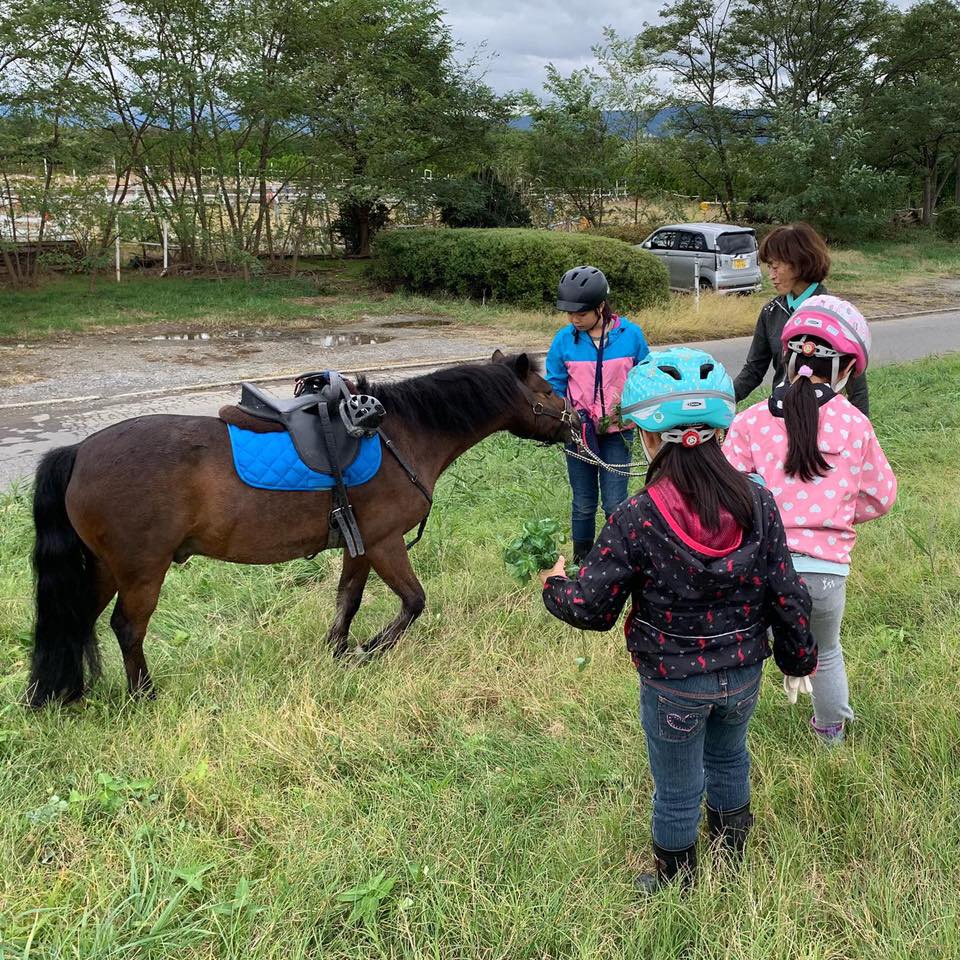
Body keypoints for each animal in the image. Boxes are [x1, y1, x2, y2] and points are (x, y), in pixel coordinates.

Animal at [26, 352, 572, 704]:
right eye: (548, 390)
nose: (576, 422)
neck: (402, 433)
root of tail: (79, 452)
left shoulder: (359, 545)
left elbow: (348, 599)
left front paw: (339, 651)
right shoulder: (384, 542)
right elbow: (414, 602)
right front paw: (370, 650)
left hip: (103, 568)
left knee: (78, 620)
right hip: (141, 571)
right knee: (127, 627)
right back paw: (144, 695)